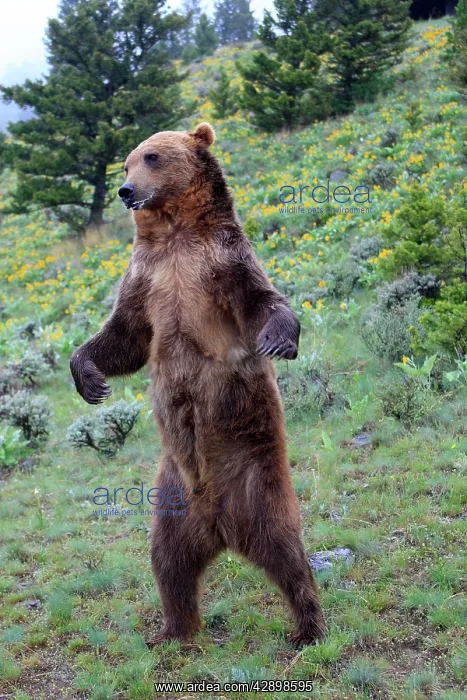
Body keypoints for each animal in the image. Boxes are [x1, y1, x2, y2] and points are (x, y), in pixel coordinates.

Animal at [70, 122, 325, 647]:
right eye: (125, 162)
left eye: (151, 157)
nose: (126, 191)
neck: (175, 234)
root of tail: (220, 527)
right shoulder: (146, 277)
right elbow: (124, 335)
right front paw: (89, 378)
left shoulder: (221, 261)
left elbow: (260, 299)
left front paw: (278, 339)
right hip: (172, 501)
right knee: (169, 564)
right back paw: (172, 630)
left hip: (257, 482)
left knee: (287, 555)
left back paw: (308, 628)